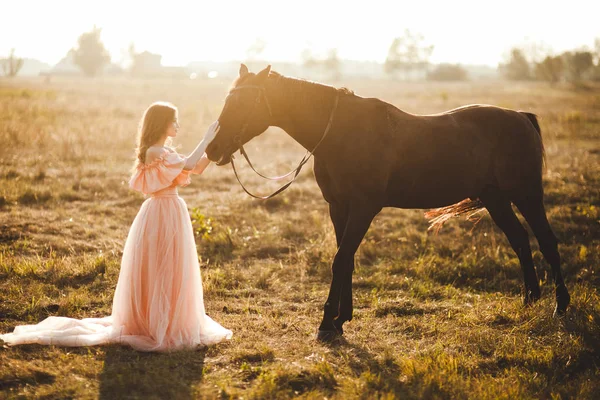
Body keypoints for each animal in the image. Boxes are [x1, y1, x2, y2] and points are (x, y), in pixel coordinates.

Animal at [207, 64, 572, 342]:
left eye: (245, 103)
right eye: (227, 100)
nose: (213, 150)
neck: (341, 132)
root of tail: (521, 117)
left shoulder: (363, 209)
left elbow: (340, 260)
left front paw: (326, 324)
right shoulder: (339, 208)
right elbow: (346, 260)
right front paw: (341, 320)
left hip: (527, 195)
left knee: (547, 242)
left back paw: (560, 306)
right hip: (496, 199)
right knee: (520, 241)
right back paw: (529, 299)